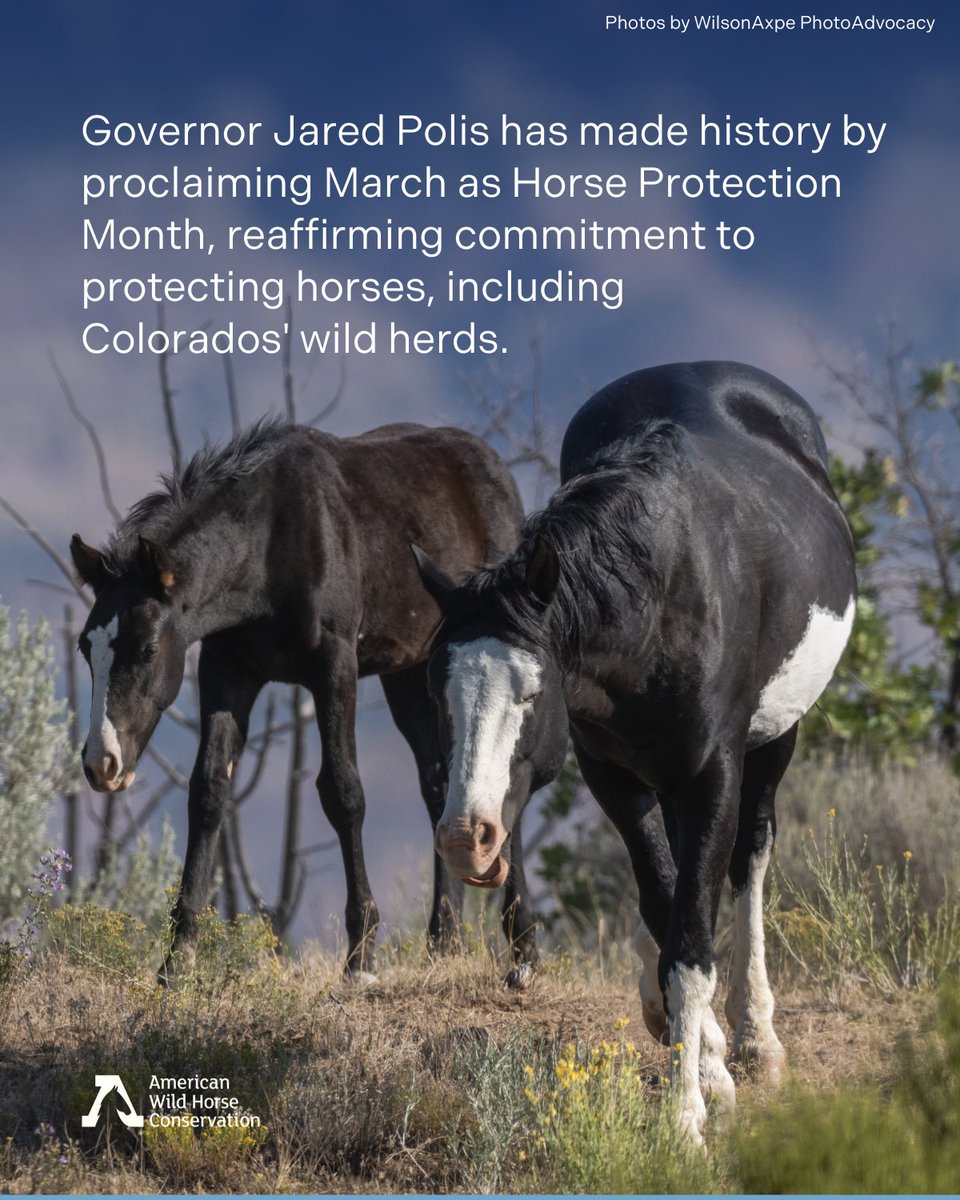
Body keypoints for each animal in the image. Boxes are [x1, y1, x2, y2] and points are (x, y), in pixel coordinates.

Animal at [71, 416, 545, 982]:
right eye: (85, 646)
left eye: (145, 648)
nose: (101, 763)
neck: (268, 542)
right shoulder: (226, 670)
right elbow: (207, 792)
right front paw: (175, 959)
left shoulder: (334, 665)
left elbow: (342, 792)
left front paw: (361, 955)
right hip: (412, 675)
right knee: (439, 783)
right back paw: (443, 943)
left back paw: (522, 945)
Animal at [415, 361, 857, 1142]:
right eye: (438, 692)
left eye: (533, 692)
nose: (468, 839)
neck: (661, 597)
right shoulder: (614, 778)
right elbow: (666, 906)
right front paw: (704, 1065)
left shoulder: (714, 775)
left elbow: (692, 943)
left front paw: (686, 1118)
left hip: (776, 739)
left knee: (750, 858)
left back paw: (757, 1038)